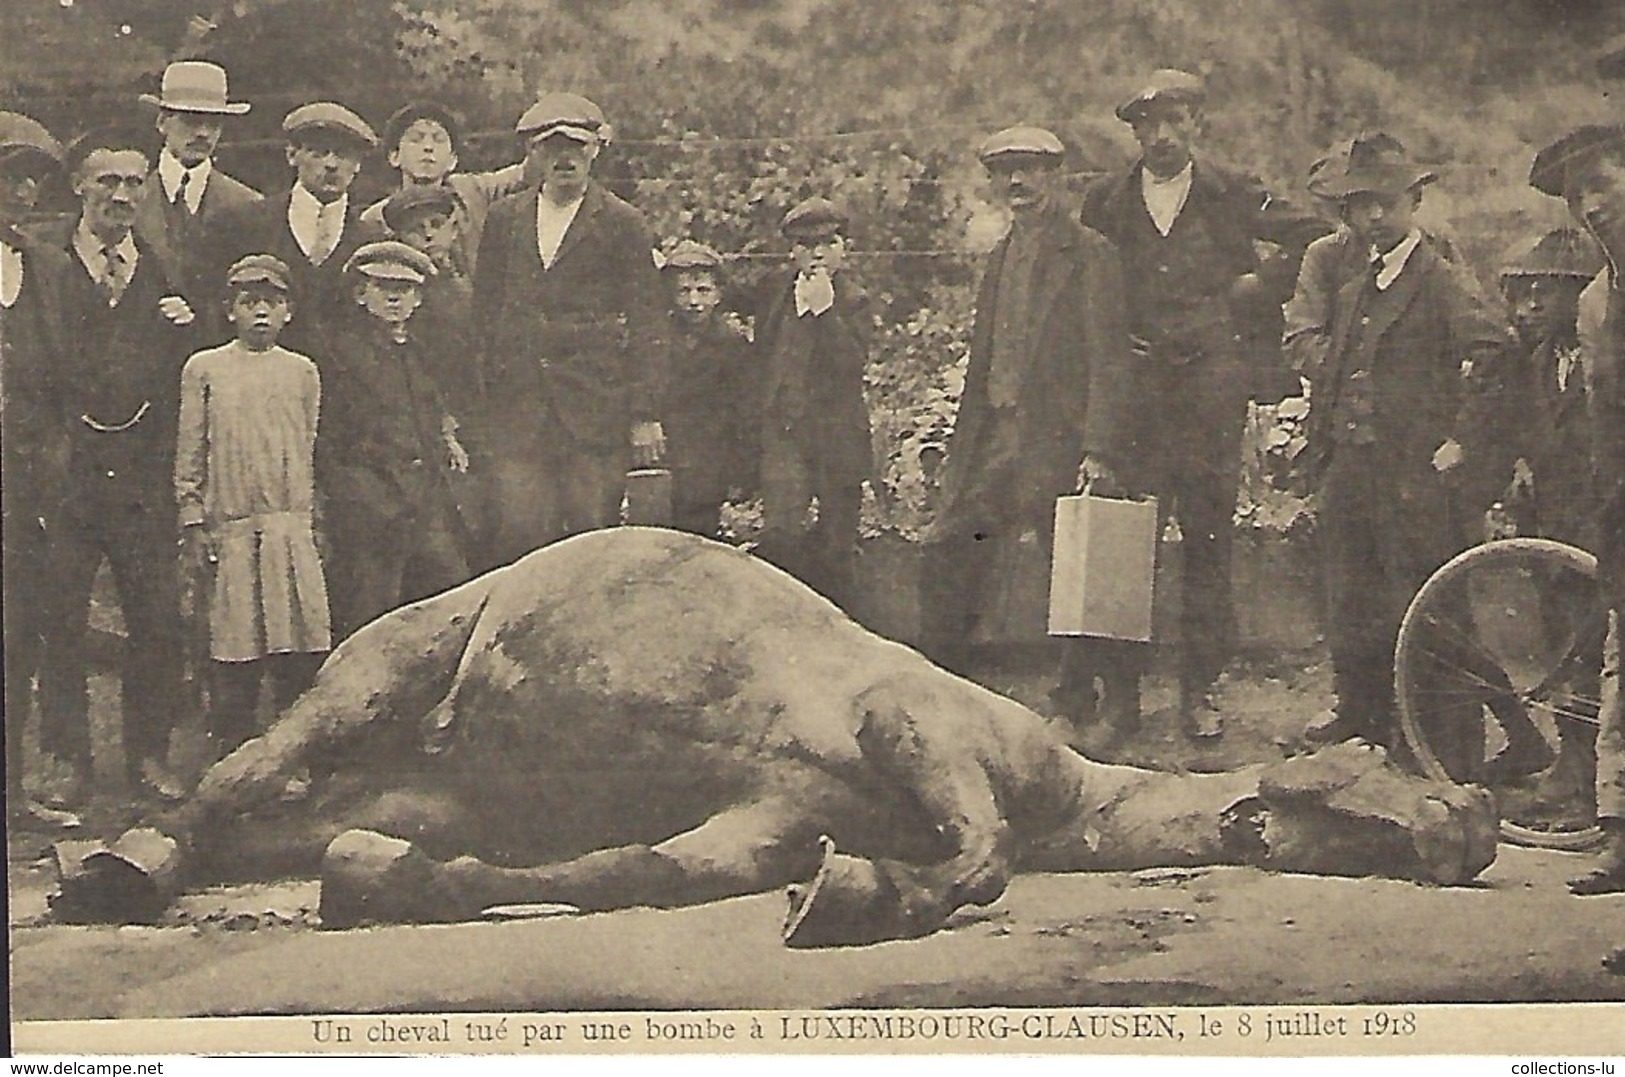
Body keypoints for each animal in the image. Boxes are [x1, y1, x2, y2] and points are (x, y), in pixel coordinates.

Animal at [54, 526, 1495, 948]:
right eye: (1361, 775)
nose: (1475, 820)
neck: (1066, 792)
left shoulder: (752, 824)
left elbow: (642, 871)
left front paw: (387, 884)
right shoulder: (911, 718)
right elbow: (974, 861)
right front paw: (868, 899)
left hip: (396, 779)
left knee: (258, 818)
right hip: (370, 679)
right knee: (219, 784)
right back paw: (115, 866)